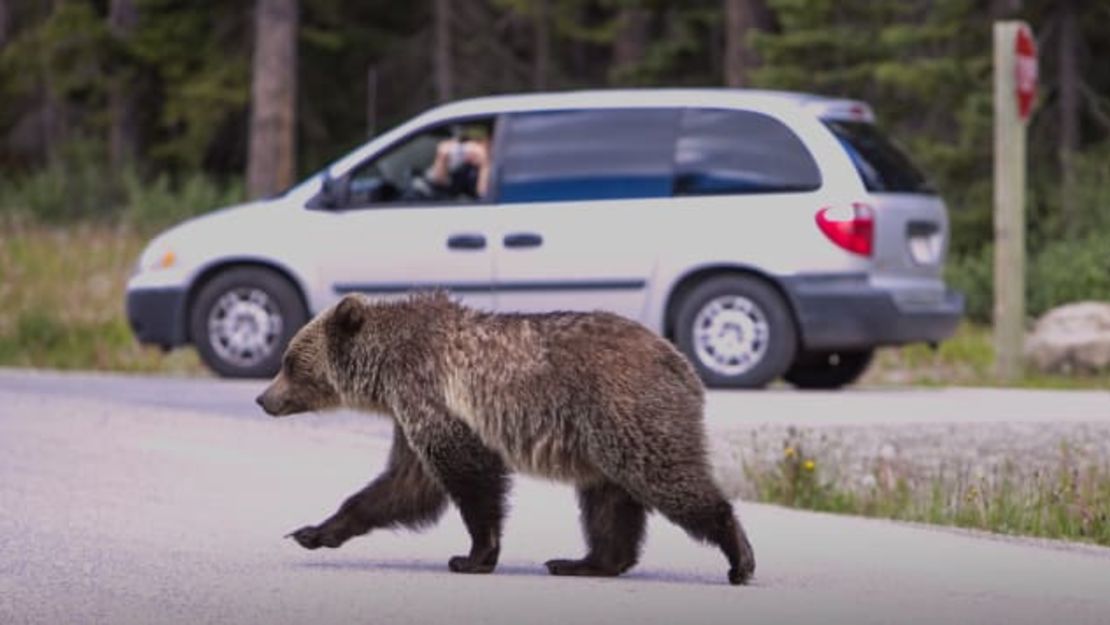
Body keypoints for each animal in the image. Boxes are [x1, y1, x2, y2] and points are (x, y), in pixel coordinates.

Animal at [254, 293, 754, 586]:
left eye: (289, 362)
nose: (263, 399)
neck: (385, 371)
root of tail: (682, 363)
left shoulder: (435, 397)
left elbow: (468, 478)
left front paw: (473, 555)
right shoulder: (412, 411)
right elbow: (403, 485)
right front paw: (313, 531)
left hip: (625, 412)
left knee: (666, 478)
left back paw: (739, 557)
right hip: (601, 439)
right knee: (608, 502)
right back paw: (583, 562)